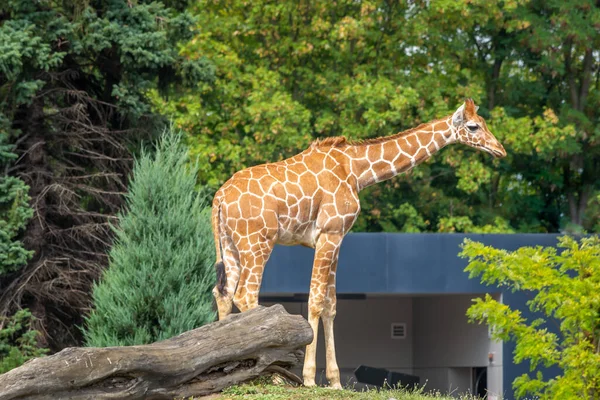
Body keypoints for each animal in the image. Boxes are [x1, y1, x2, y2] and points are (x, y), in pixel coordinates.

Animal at [209, 98, 504, 390]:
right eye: (474, 126)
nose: (500, 150)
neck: (356, 170)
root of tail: (219, 198)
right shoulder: (328, 233)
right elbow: (315, 300)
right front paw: (309, 378)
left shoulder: (338, 237)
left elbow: (331, 305)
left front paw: (335, 381)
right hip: (257, 241)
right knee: (246, 294)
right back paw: (272, 375)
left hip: (231, 244)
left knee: (223, 293)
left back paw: (228, 369)